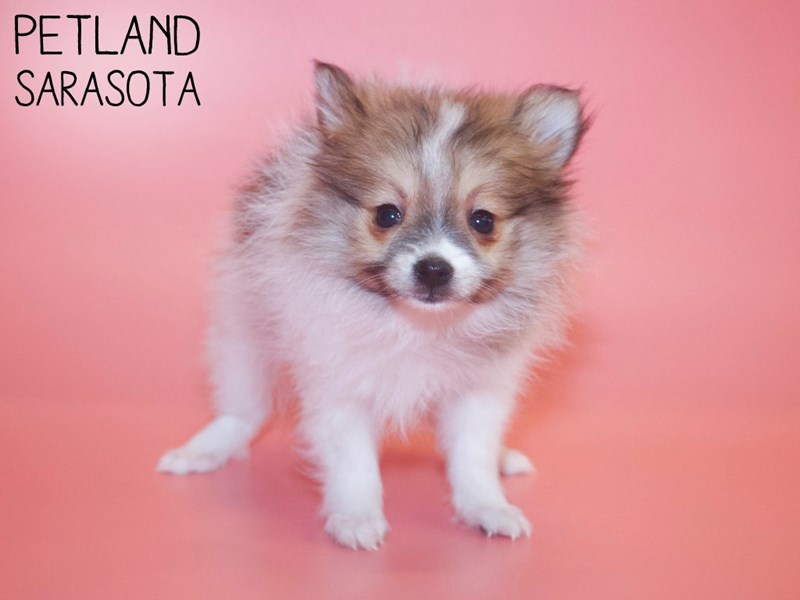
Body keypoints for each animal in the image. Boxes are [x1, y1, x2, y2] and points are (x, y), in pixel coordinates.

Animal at [157, 61, 587, 550]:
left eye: (483, 221)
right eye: (386, 214)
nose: (433, 268)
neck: (415, 324)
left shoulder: (478, 390)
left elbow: (471, 456)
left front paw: (487, 507)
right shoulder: (337, 382)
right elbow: (353, 462)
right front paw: (357, 517)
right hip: (242, 325)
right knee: (243, 407)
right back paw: (204, 451)